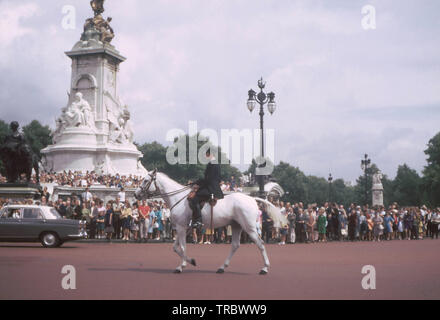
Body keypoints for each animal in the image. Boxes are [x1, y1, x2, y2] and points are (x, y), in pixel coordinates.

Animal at [134, 170, 286, 276]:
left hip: (249, 228)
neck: (178, 198)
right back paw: (222, 268)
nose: (136, 194)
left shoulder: (182, 228)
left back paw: (264, 268)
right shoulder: (183, 228)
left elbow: (182, 247)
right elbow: (175, 247)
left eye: (145, 180)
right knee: (235, 245)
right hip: (236, 226)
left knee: (260, 244)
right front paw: (190, 261)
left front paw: (181, 266)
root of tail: (253, 199)